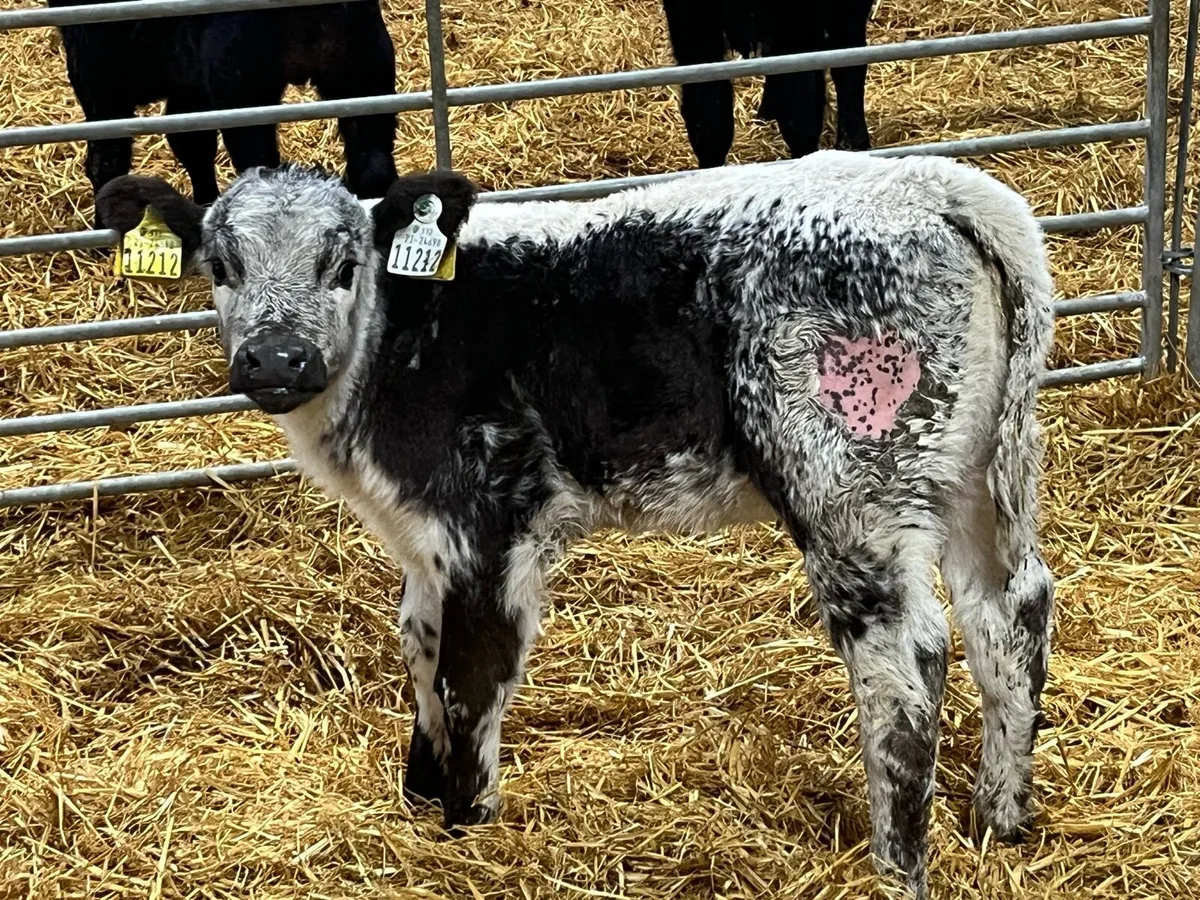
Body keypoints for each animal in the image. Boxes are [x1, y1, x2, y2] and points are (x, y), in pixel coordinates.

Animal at [95, 150, 1056, 898]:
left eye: (343, 265)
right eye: (222, 265)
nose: (276, 358)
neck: (396, 341)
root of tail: (934, 186)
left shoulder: (491, 519)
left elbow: (469, 674)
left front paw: (466, 824)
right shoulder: (425, 542)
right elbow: (416, 646)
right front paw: (417, 792)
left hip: (850, 488)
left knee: (905, 663)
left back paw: (896, 863)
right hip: (975, 477)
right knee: (1010, 611)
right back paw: (1000, 817)